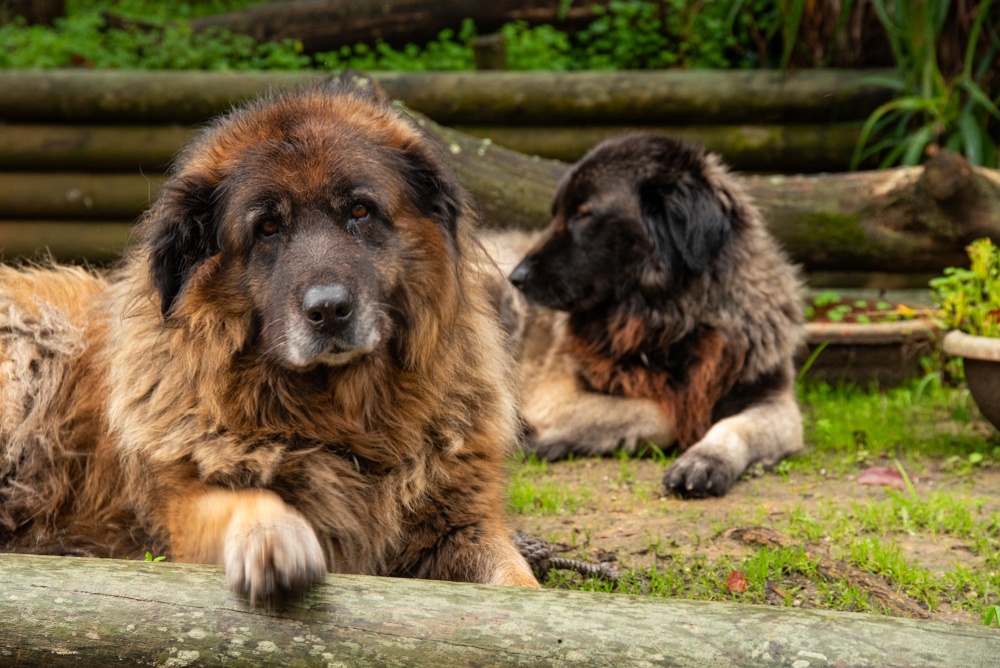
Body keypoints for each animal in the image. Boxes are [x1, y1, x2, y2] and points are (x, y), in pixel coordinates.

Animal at [1, 75, 540, 604]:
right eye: (267, 227)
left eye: (360, 210)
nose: (329, 310)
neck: (340, 422)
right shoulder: (185, 502)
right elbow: (244, 498)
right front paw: (272, 538)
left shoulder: (462, 523)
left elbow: (520, 582)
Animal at [488, 134, 808, 496]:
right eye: (557, 214)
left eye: (583, 215)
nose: (517, 277)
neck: (669, 324)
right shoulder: (554, 393)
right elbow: (663, 415)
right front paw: (538, 440)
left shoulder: (775, 402)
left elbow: (736, 427)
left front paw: (705, 461)